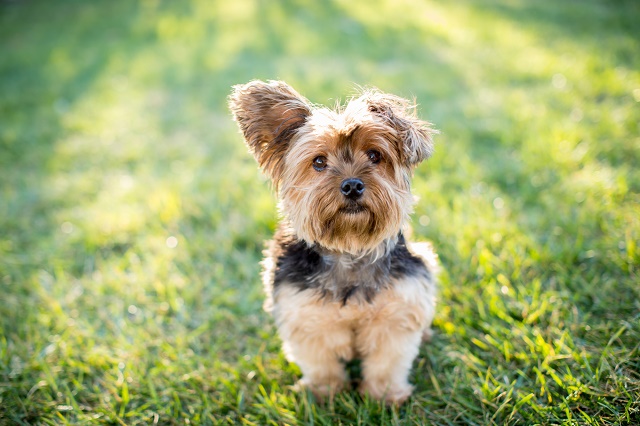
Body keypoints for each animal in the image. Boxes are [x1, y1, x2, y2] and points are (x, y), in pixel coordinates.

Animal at [228, 80, 438, 406]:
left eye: (375, 156)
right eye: (318, 162)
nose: (352, 185)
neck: (348, 248)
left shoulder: (396, 311)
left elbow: (387, 361)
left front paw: (384, 396)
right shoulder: (305, 312)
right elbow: (320, 361)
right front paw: (323, 394)